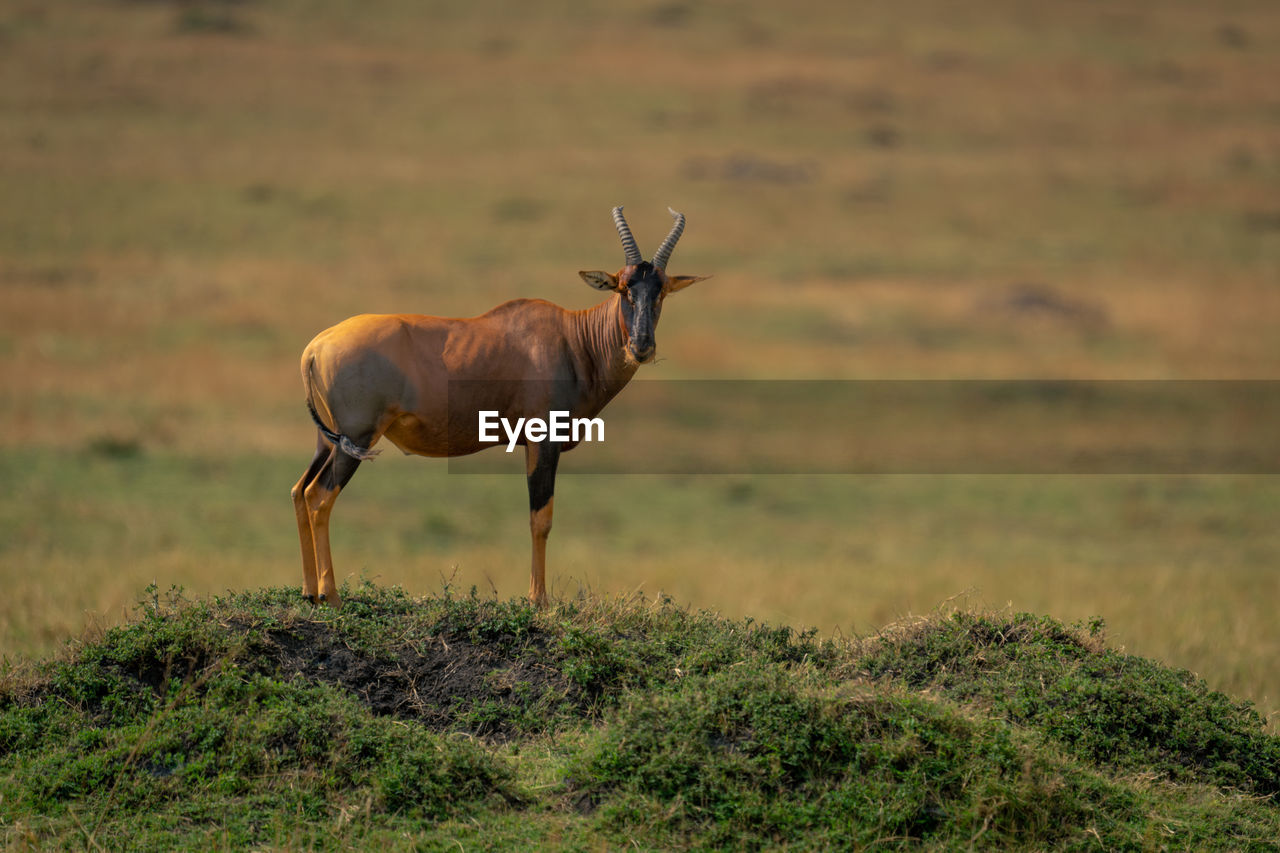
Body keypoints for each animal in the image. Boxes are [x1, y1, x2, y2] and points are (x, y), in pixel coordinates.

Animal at [291, 206, 711, 604]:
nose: (641, 346)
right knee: (320, 497)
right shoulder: (544, 440)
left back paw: (309, 591)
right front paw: (538, 600)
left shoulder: (529, 443)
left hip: (328, 440)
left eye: (661, 290)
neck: (572, 339)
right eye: (623, 288)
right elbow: (541, 518)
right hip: (357, 438)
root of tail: (316, 346)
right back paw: (331, 597)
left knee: (300, 491)